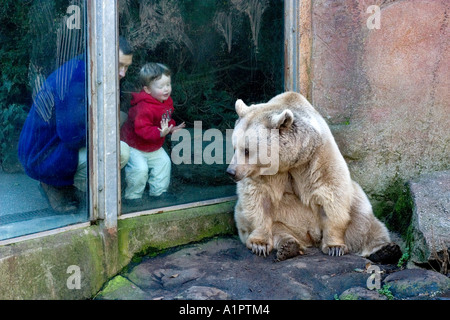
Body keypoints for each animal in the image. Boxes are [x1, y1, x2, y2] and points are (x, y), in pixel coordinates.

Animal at [229, 90, 400, 262]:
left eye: (247, 150)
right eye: (234, 147)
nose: (231, 172)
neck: (289, 162)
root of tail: (309, 237)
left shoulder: (317, 157)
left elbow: (331, 193)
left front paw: (334, 246)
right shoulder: (263, 174)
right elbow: (258, 198)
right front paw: (259, 244)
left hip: (355, 200)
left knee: (364, 220)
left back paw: (385, 249)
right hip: (284, 221)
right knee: (277, 229)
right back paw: (288, 246)